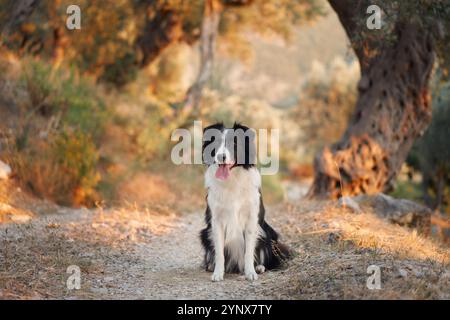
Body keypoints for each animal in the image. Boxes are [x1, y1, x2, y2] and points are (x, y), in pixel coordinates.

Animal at [200, 123, 290, 282]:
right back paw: (211, 266)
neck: (232, 179)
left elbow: (249, 251)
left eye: (234, 144)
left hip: (268, 233)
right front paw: (218, 273)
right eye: (216, 144)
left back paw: (259, 267)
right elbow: (219, 252)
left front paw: (250, 273)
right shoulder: (216, 220)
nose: (220, 156)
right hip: (205, 233)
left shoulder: (252, 218)